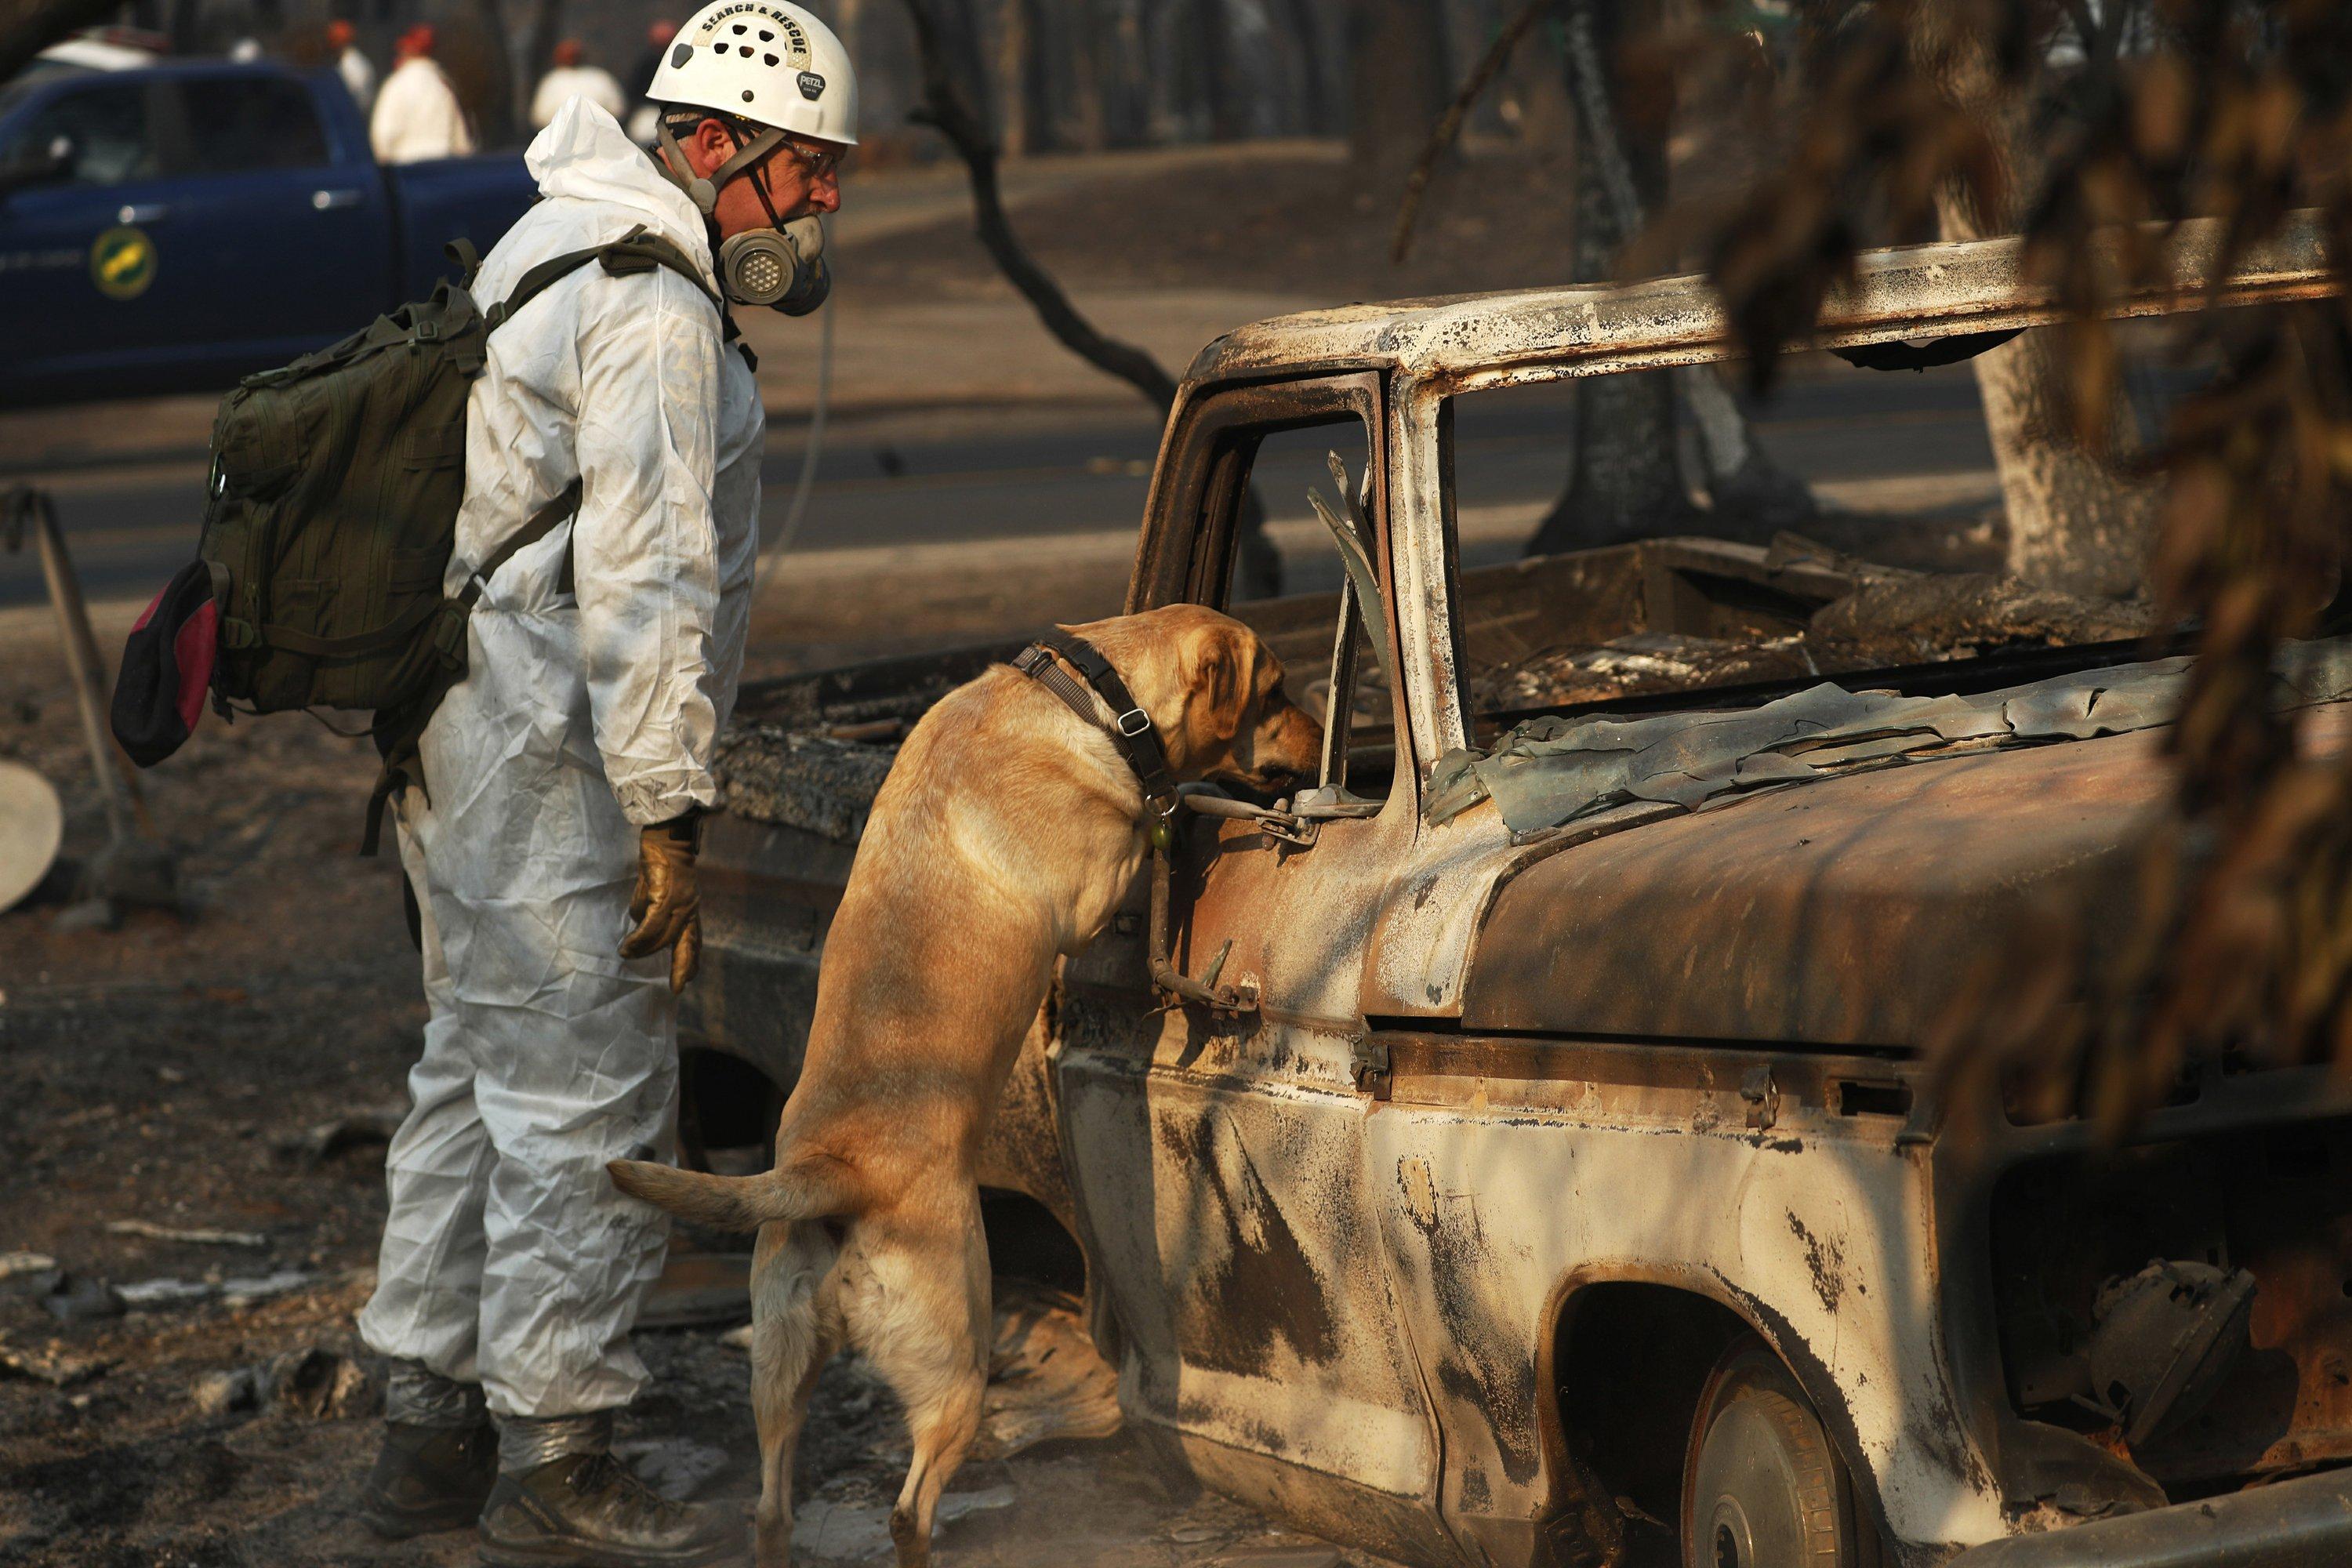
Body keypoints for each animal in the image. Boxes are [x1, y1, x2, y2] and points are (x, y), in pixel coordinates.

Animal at [607, 606, 1327, 1561]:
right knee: (908, 1505)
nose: (1323, 748)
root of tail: (833, 1174)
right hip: (957, 1359)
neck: (1087, 695)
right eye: (1275, 693)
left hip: (779, 1366)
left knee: (770, 1506)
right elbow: (1161, 818)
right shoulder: (1097, 891)